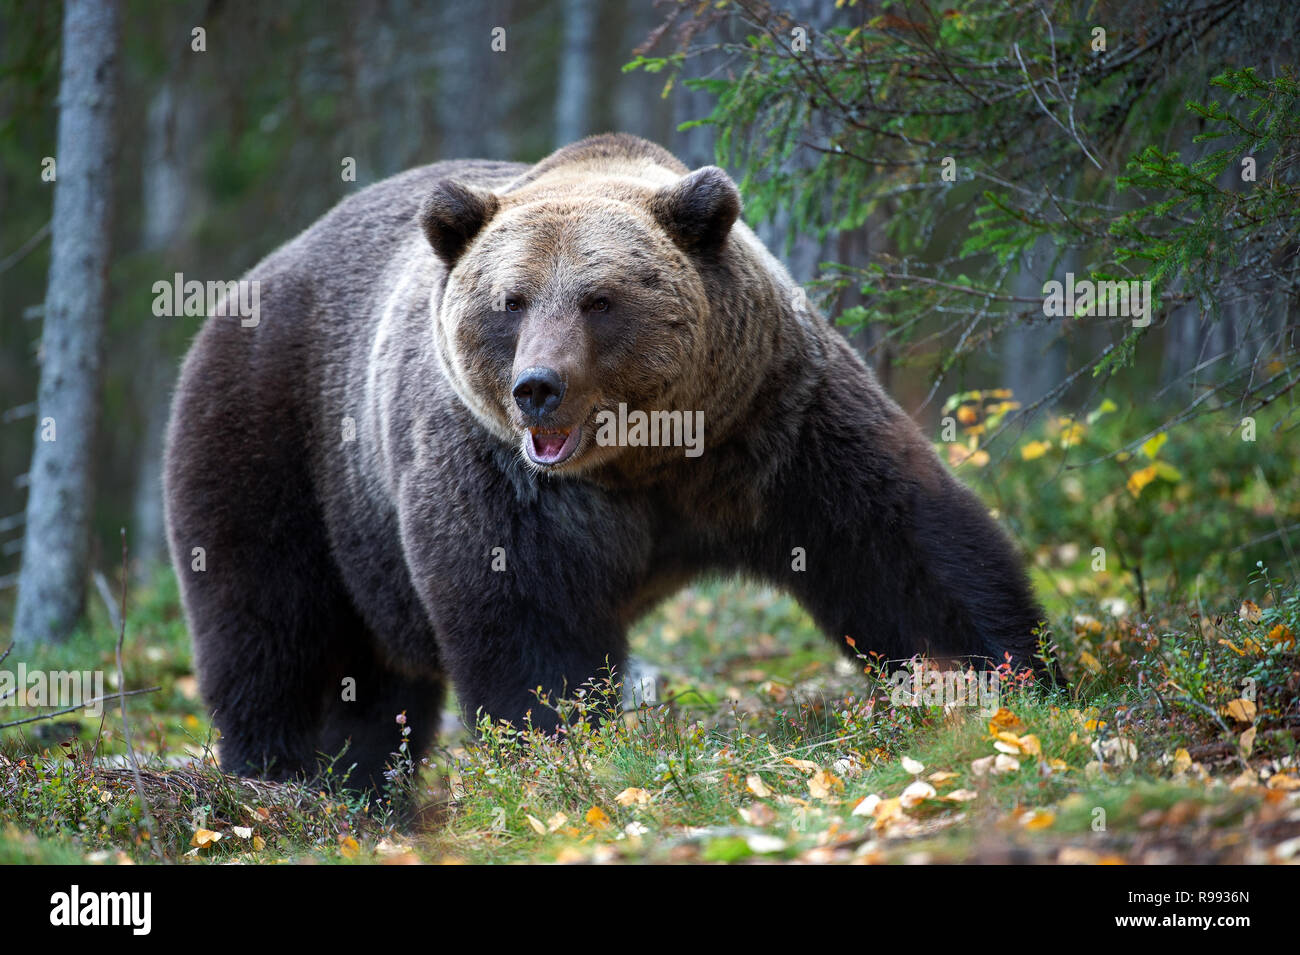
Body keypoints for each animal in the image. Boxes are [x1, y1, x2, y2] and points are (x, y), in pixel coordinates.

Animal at [165, 134, 1045, 789]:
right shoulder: (504, 475)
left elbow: (896, 545)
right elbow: (527, 622)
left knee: (371, 688)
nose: (536, 388)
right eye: (510, 301)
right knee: (273, 628)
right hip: (280, 437)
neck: (647, 459)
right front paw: (554, 751)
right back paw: (282, 775)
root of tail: (256, 277)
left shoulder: (774, 420)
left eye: (599, 298)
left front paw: (1011, 676)